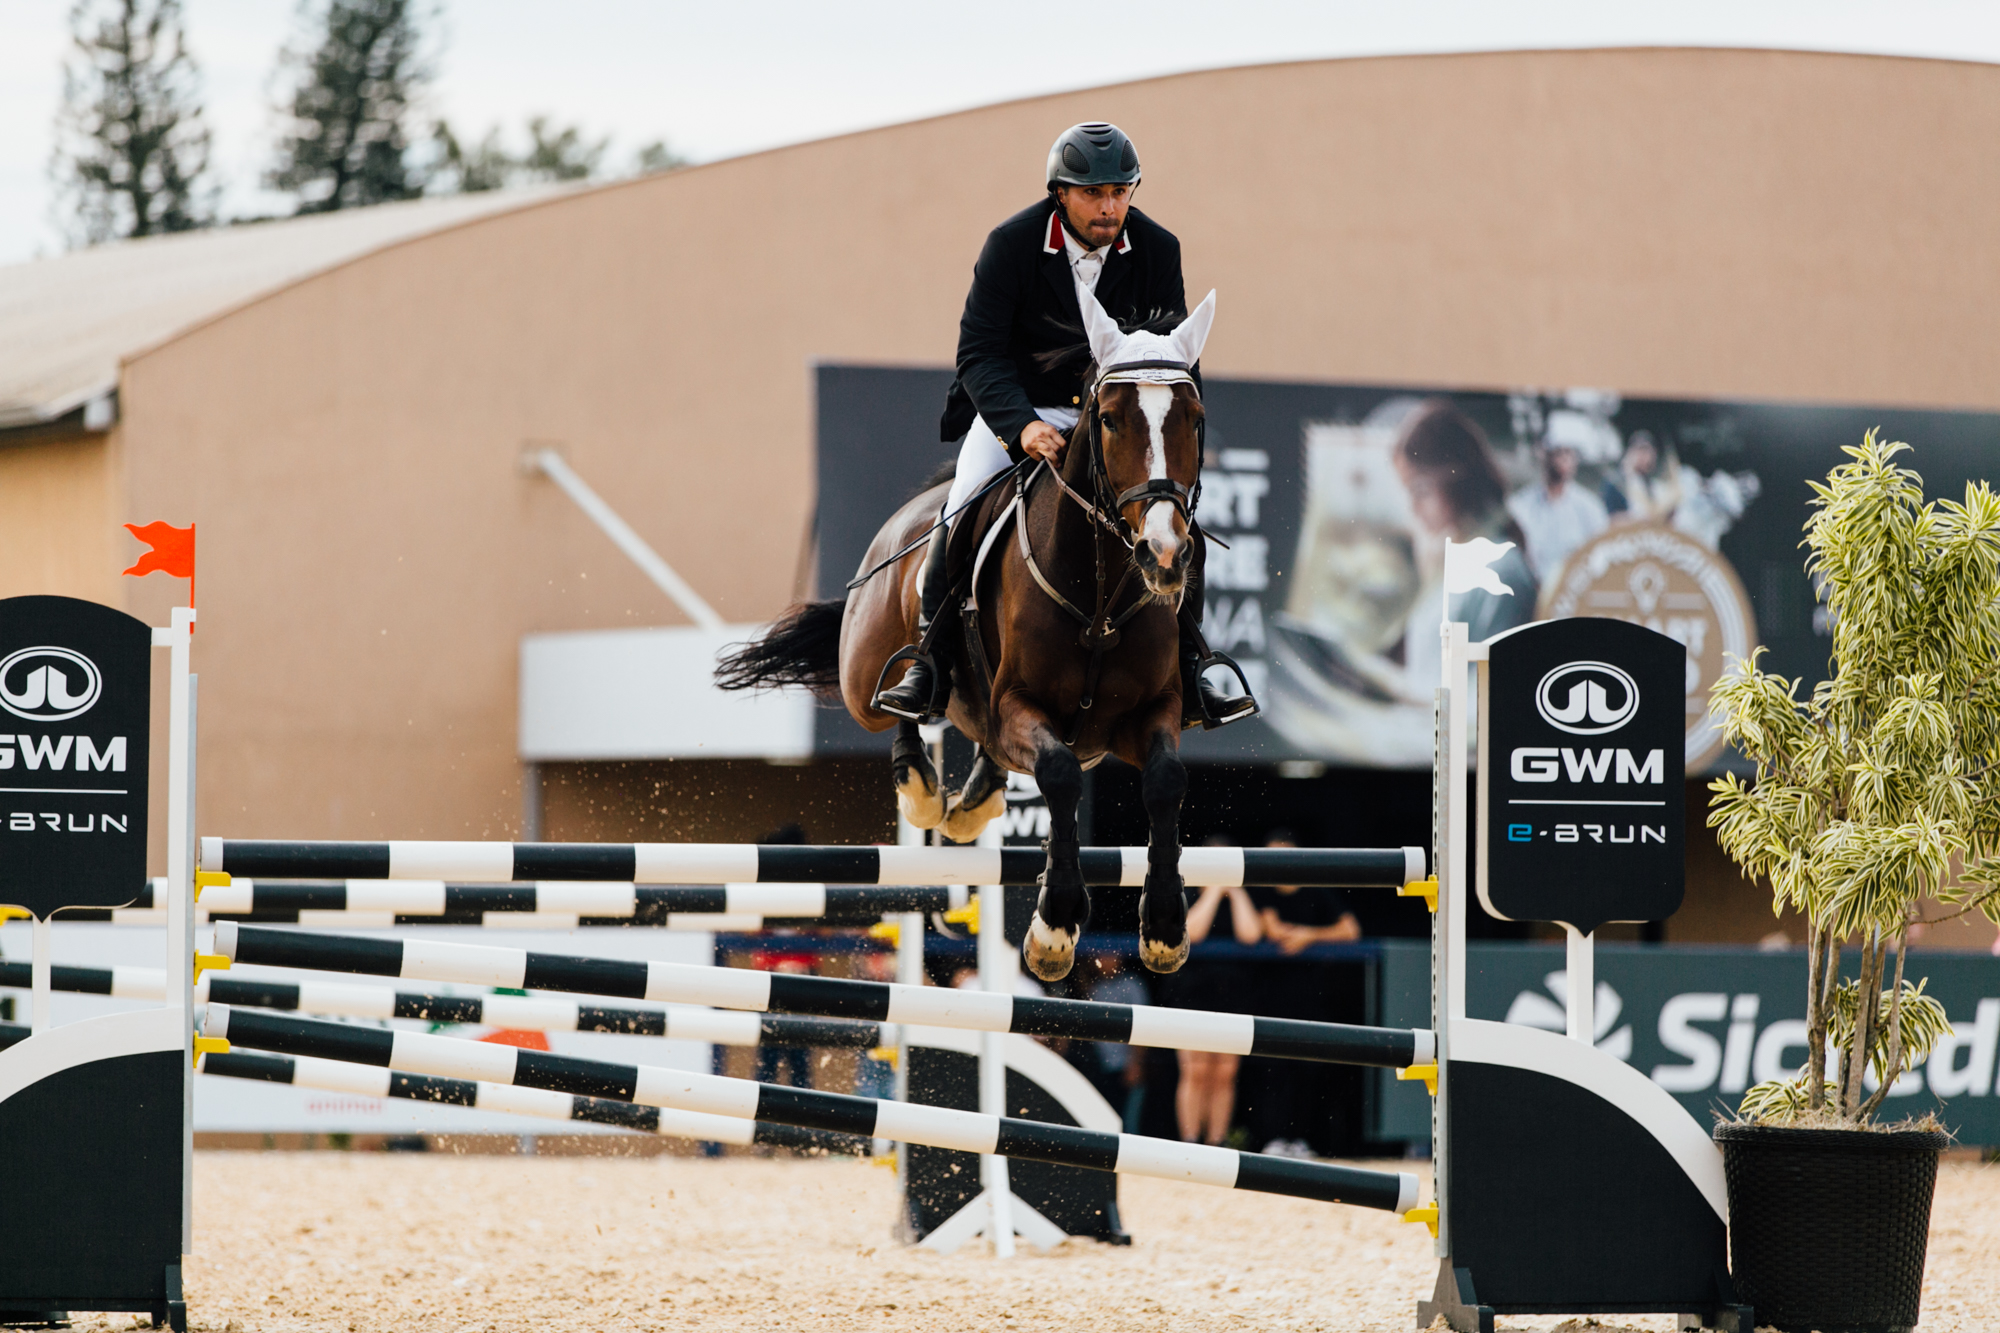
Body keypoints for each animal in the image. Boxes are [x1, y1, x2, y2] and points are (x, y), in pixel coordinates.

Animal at [720, 286, 1216, 980]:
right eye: (1113, 419)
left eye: (1193, 419)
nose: (1165, 555)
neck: (1099, 598)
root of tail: (911, 512)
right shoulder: (1018, 708)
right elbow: (1060, 773)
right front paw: (1054, 930)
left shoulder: (1153, 710)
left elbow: (1166, 781)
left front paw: (1165, 930)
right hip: (864, 674)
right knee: (897, 703)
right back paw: (921, 785)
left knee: (979, 745)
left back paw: (974, 800)